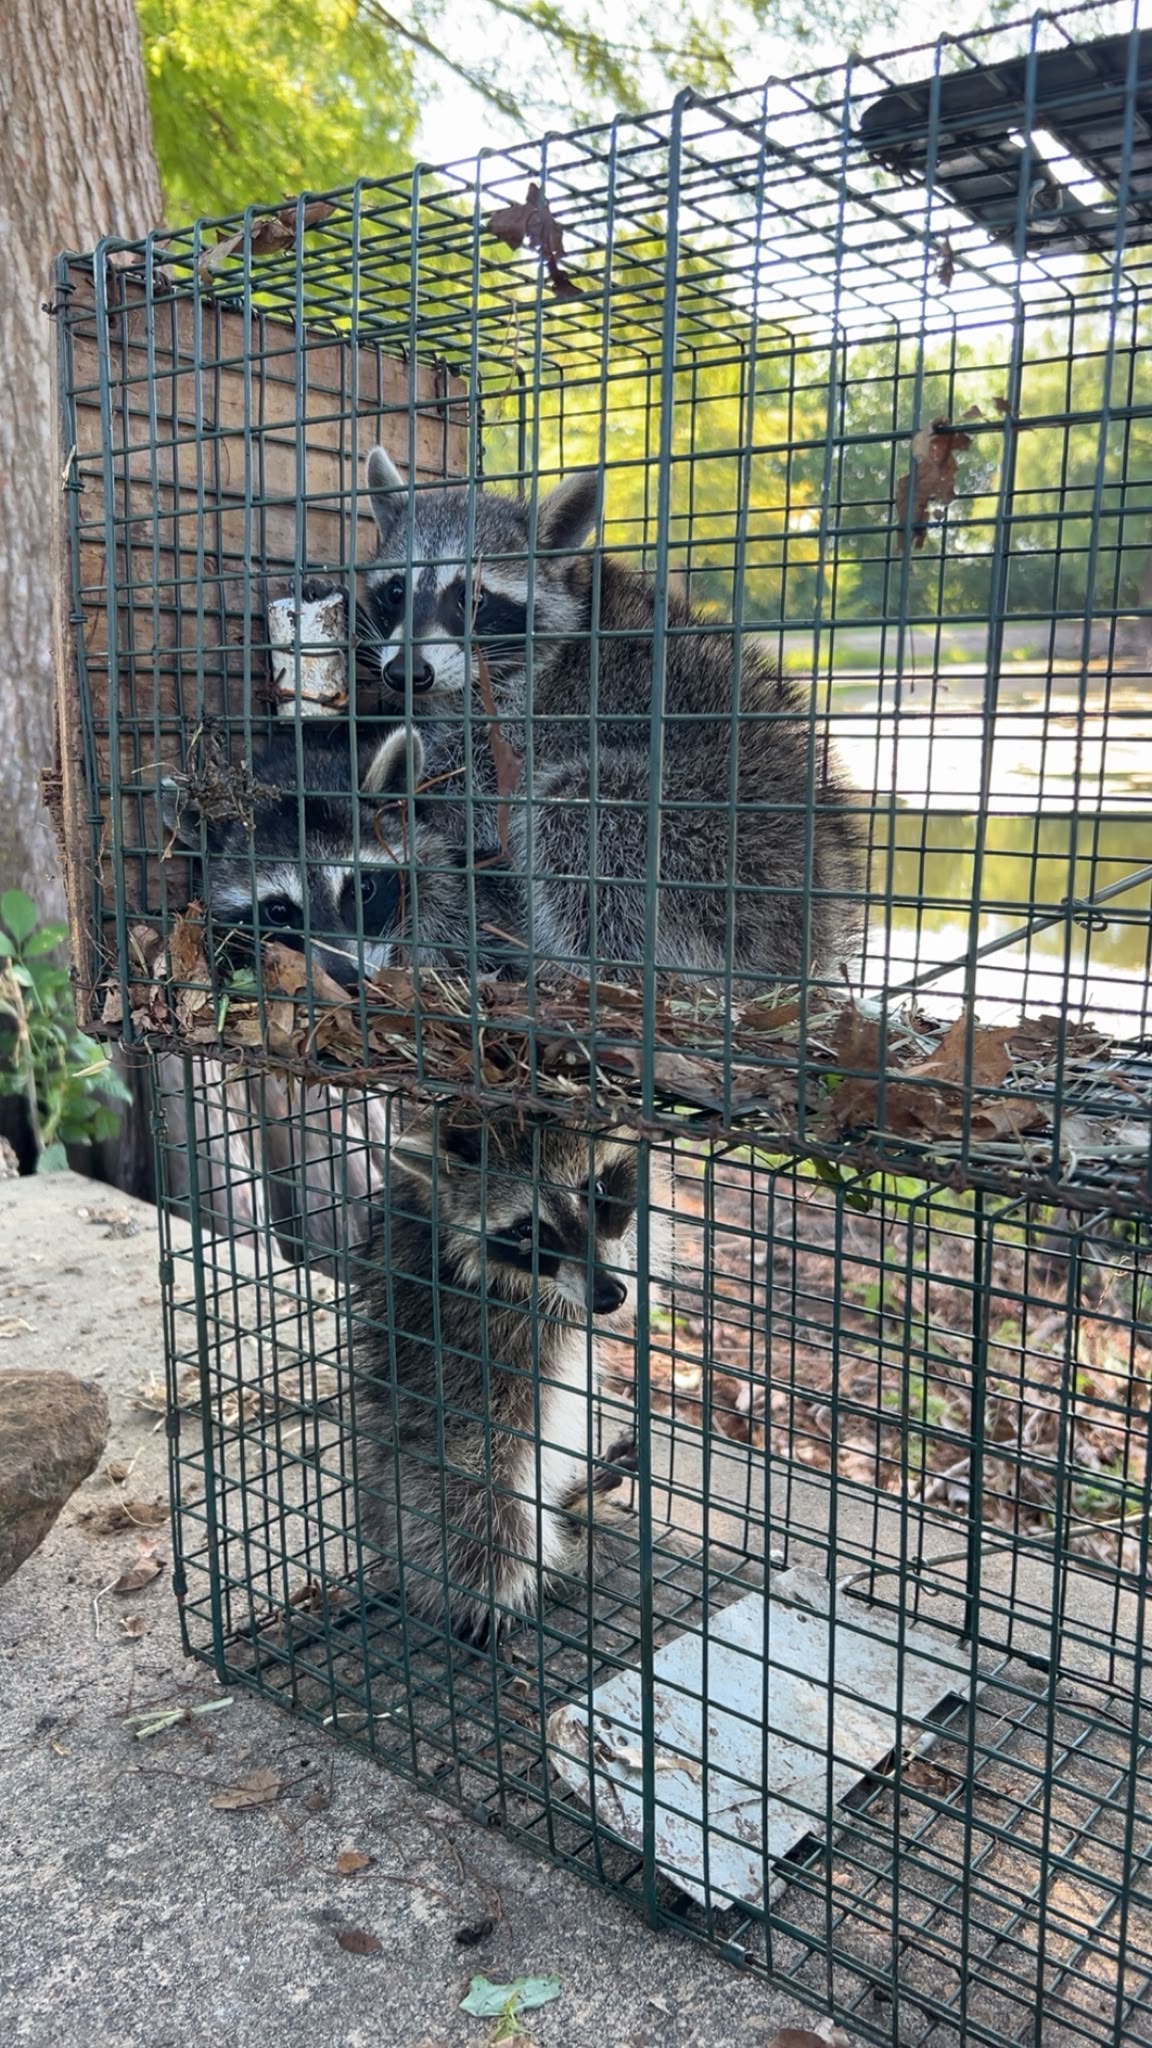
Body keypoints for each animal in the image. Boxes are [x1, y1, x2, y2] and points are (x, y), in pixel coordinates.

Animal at [362, 447, 862, 984]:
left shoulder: (544, 709)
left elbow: (482, 789)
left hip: (713, 848)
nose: (406, 673)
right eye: (396, 592)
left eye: (473, 598)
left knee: (580, 817)